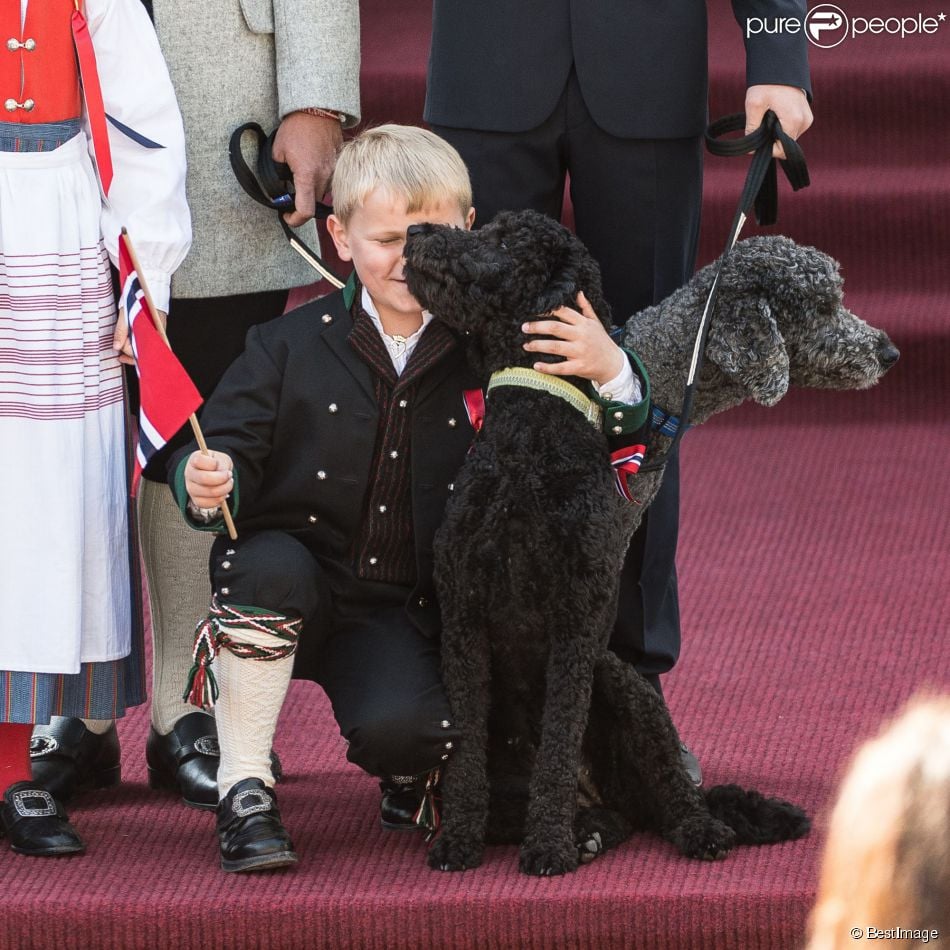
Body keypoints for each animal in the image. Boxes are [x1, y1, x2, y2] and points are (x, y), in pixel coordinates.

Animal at [402, 208, 900, 876]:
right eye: (489, 227)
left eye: (502, 240)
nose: (415, 233)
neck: (531, 437)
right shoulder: (465, 619)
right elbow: (465, 754)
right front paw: (457, 838)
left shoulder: (574, 627)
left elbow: (558, 745)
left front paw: (548, 847)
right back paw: (585, 828)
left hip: (626, 695)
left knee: (670, 795)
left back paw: (684, 829)